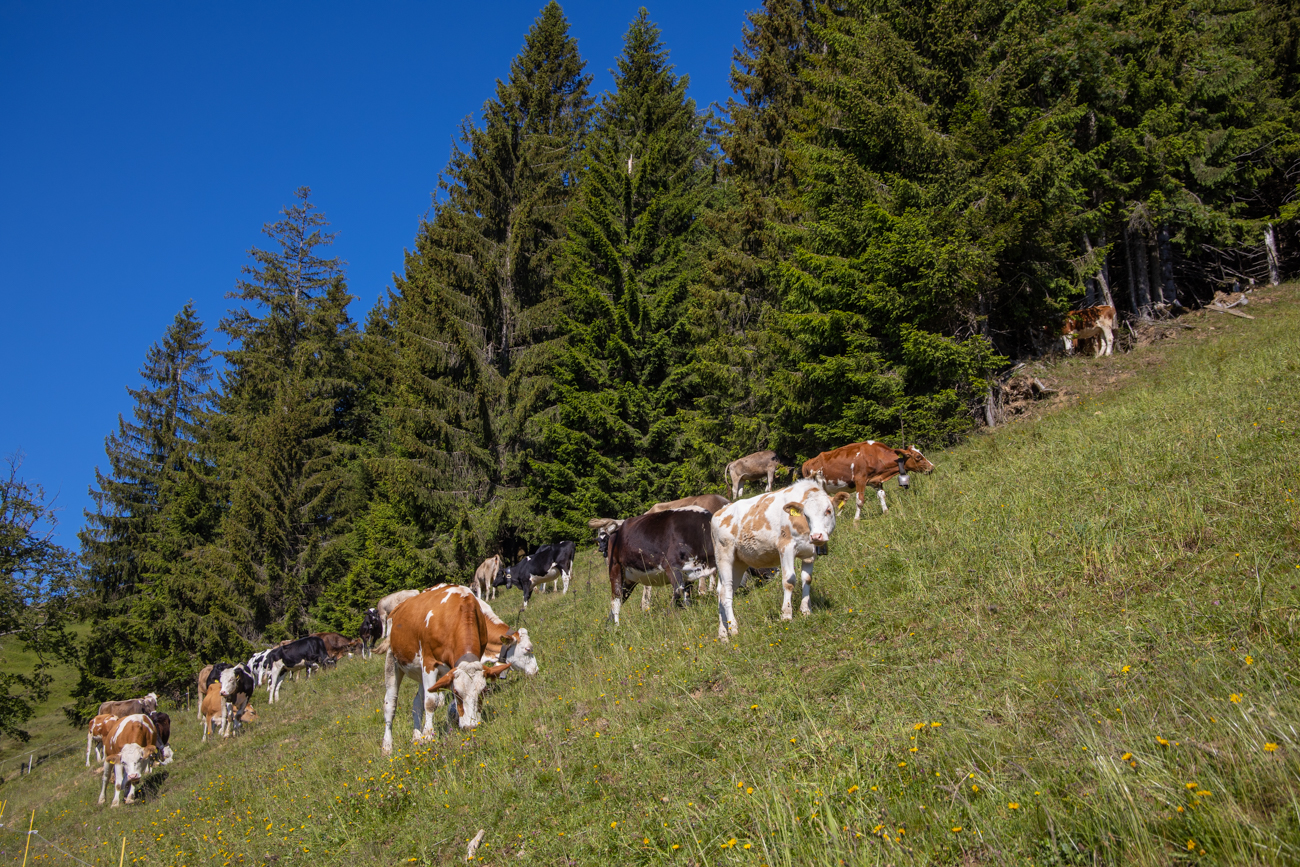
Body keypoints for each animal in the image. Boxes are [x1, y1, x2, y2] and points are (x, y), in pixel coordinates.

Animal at [712, 478, 852, 642]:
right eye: (806, 515)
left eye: (828, 510)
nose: (817, 536)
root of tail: (721, 511)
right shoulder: (786, 547)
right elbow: (789, 581)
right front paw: (786, 615)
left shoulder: (810, 554)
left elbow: (807, 579)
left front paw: (806, 611)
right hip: (724, 556)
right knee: (725, 592)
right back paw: (733, 628)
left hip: (739, 562)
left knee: (722, 592)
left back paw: (723, 634)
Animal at [800, 444, 935, 519]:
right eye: (918, 457)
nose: (932, 467)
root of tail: (807, 462)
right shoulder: (860, 479)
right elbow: (860, 501)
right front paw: (856, 520)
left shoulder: (876, 481)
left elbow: (882, 496)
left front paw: (886, 513)